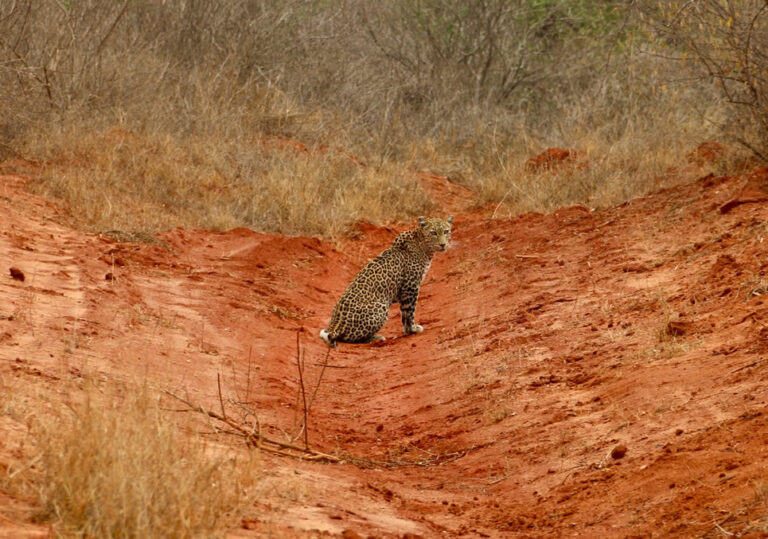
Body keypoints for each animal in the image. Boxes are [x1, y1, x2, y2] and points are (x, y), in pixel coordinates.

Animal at [320, 216, 452, 350]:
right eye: (433, 233)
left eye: (446, 231)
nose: (443, 244)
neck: (424, 246)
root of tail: (334, 327)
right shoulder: (410, 287)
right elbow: (409, 311)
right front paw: (412, 329)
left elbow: (405, 313)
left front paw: (409, 330)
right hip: (381, 308)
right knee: (350, 338)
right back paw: (376, 338)